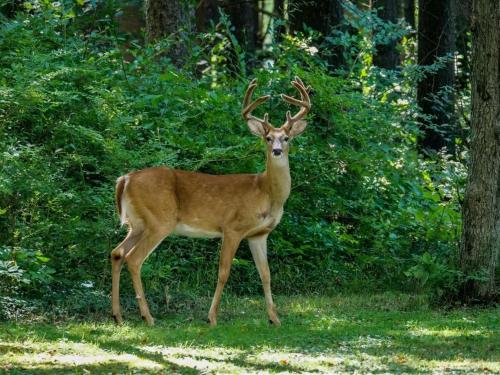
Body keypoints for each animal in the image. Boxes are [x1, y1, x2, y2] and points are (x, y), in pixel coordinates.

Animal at [111, 75, 310, 326]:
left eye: (286, 138)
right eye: (267, 138)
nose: (276, 151)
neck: (266, 192)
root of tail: (125, 179)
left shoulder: (259, 234)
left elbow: (266, 274)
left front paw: (275, 319)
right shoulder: (232, 227)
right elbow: (223, 272)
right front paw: (212, 317)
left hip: (137, 223)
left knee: (117, 253)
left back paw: (117, 315)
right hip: (159, 220)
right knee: (134, 259)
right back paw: (148, 316)